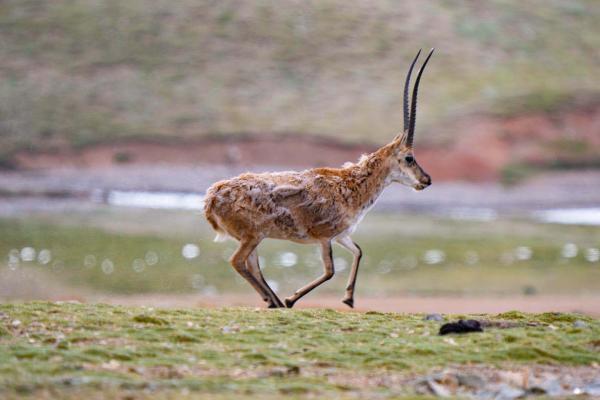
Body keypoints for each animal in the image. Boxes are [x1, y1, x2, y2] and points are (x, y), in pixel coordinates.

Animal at [204, 48, 434, 308]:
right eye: (409, 157)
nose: (427, 180)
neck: (351, 184)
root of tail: (211, 198)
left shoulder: (342, 235)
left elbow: (358, 251)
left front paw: (348, 299)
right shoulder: (324, 237)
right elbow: (329, 271)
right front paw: (292, 299)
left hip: (251, 238)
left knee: (251, 265)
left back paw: (273, 300)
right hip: (252, 236)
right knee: (238, 262)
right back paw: (277, 301)